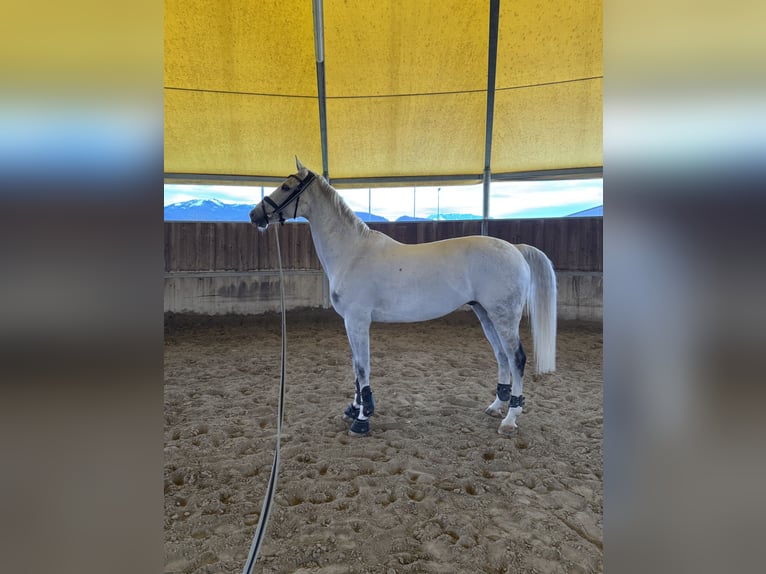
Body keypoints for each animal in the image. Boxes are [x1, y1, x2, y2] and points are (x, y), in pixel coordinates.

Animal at [250, 158, 557, 437]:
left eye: (286, 186)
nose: (254, 216)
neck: (353, 252)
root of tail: (515, 248)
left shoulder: (357, 320)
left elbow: (362, 368)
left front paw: (362, 420)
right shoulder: (350, 323)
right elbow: (355, 367)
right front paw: (353, 408)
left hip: (503, 316)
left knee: (516, 358)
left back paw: (510, 419)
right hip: (485, 313)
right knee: (502, 356)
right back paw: (496, 407)